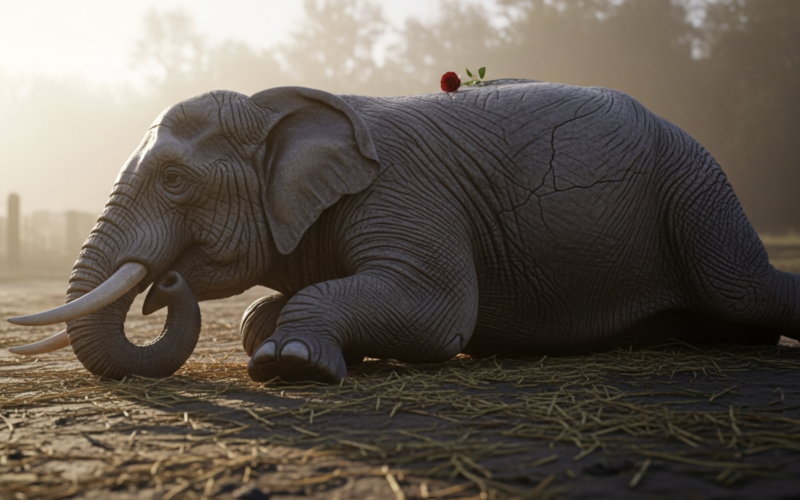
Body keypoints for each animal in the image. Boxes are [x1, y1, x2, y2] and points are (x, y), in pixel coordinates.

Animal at [8, 79, 800, 383]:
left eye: (174, 181)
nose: (164, 280)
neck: (278, 106)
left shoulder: (408, 192)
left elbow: (440, 313)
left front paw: (290, 364)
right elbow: (269, 309)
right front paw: (293, 340)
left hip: (694, 188)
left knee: (743, 288)